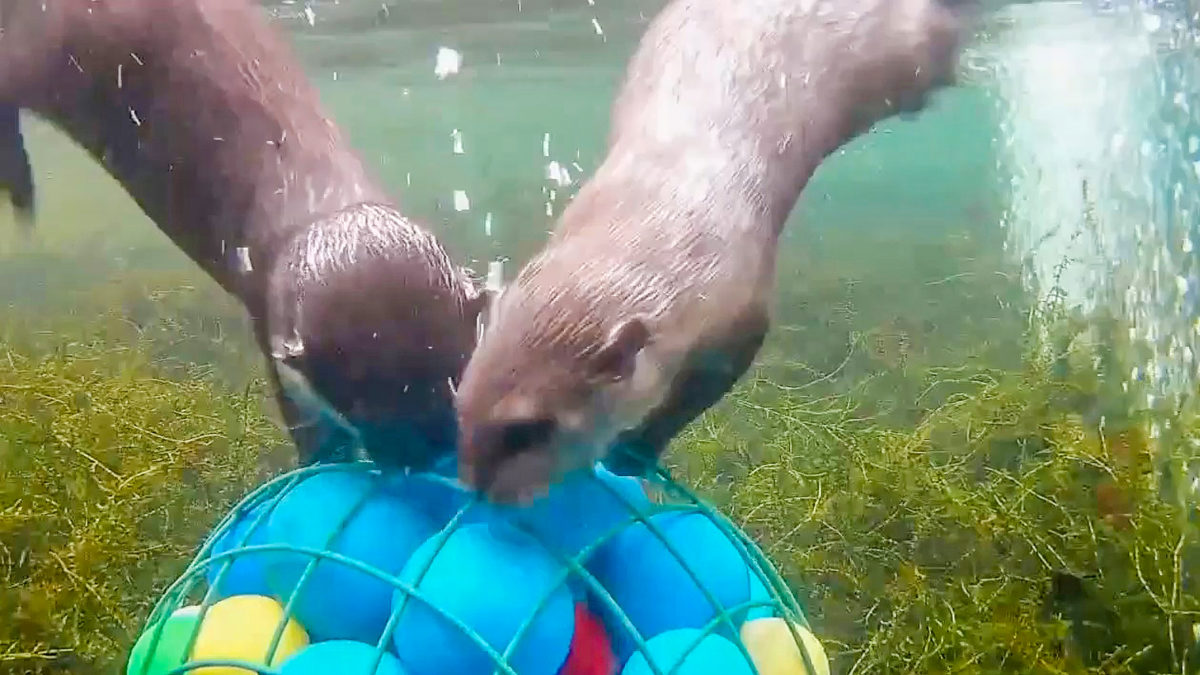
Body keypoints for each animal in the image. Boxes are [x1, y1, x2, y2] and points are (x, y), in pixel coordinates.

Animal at [0, 0, 489, 468]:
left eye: (455, 371)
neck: (311, 188)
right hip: (42, 42)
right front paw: (323, 457)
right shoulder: (264, 313)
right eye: (355, 397)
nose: (422, 450)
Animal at [453, 0, 979, 499]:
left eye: (526, 431)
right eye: (460, 402)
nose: (474, 484)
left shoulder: (742, 314)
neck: (663, 207)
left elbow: (697, 394)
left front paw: (634, 451)